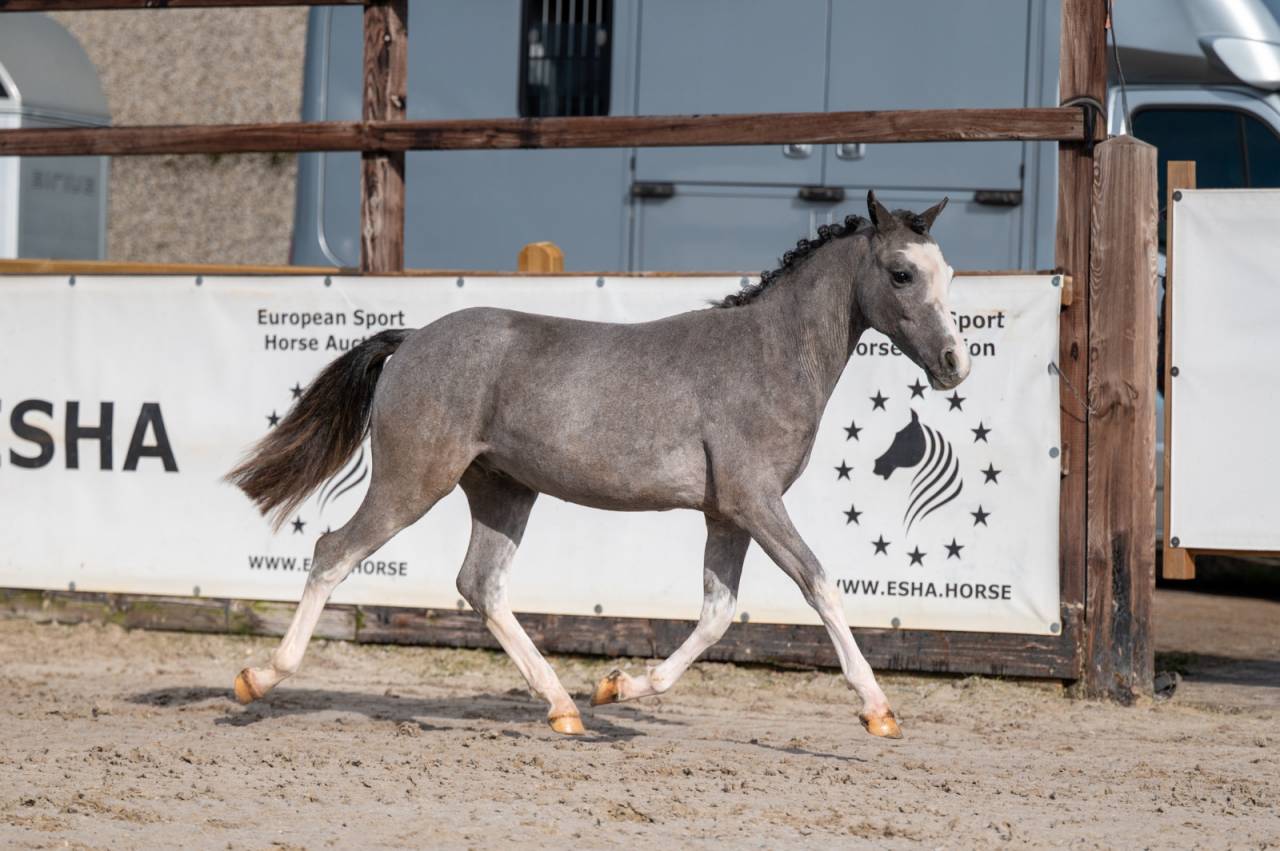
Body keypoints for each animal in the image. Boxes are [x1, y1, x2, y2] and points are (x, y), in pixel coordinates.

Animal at [226, 191, 971, 740]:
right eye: (902, 272)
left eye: (951, 275)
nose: (954, 365)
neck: (768, 355)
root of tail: (410, 342)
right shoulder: (756, 500)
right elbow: (820, 584)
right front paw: (878, 710)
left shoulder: (726, 514)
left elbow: (717, 613)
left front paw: (618, 685)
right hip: (411, 482)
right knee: (333, 552)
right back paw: (257, 678)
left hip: (502, 491)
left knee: (481, 585)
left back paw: (564, 706)